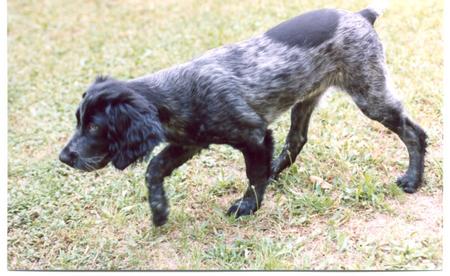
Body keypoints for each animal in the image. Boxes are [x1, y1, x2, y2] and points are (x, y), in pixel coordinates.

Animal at [59, 3, 426, 226]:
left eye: (94, 127)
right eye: (78, 122)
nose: (63, 157)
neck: (175, 93)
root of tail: (361, 15)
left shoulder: (254, 135)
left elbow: (251, 175)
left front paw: (249, 206)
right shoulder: (188, 143)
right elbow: (154, 168)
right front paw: (159, 211)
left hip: (370, 95)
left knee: (415, 133)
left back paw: (412, 179)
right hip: (306, 97)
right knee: (297, 139)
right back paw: (274, 169)